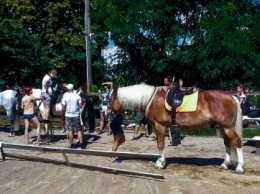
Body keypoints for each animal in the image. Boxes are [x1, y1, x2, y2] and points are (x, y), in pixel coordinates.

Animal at [107, 84, 244, 174]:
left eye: (110, 99)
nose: (107, 112)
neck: (151, 98)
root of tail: (232, 97)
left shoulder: (160, 126)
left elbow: (160, 145)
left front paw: (160, 163)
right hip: (223, 128)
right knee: (227, 143)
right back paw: (224, 165)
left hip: (227, 127)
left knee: (237, 142)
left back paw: (239, 167)